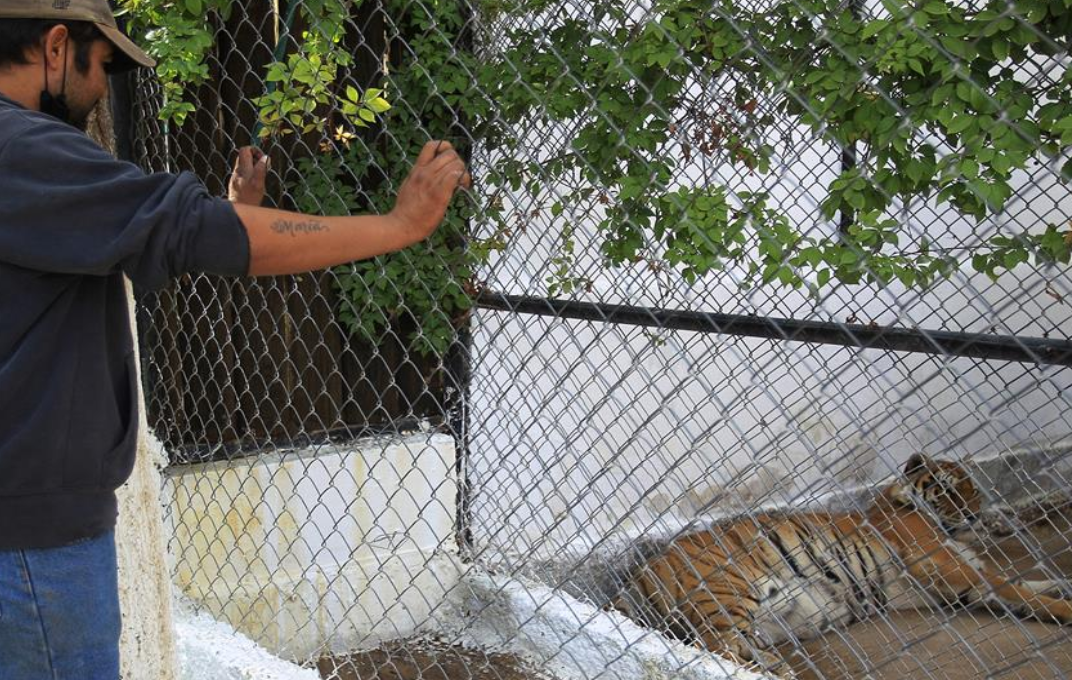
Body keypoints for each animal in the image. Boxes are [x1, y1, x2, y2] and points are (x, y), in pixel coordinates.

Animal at [613, 452, 1072, 673]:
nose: (974, 515)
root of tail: (642, 570)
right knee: (715, 649)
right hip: (726, 596)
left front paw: (1059, 584)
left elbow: (1015, 582)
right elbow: (1011, 587)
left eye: (972, 490)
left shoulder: (955, 578)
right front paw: (1063, 607)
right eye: (946, 489)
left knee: (737, 648)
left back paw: (779, 668)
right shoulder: (942, 563)